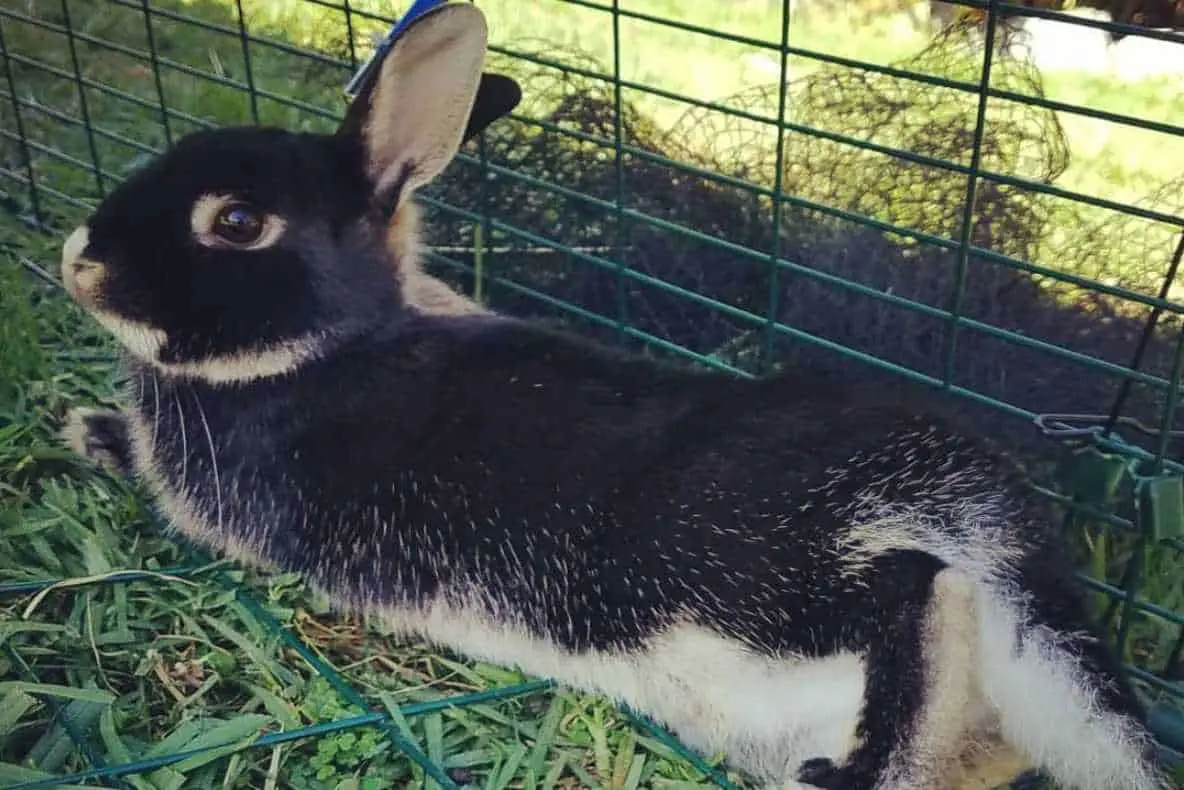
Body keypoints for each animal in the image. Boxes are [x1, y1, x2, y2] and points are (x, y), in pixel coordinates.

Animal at [55, 6, 1165, 790]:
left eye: (237, 222)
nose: (79, 262)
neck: (323, 349)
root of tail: (971, 503)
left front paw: (93, 435)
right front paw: (90, 424)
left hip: (749, 579)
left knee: (913, 597)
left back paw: (859, 772)